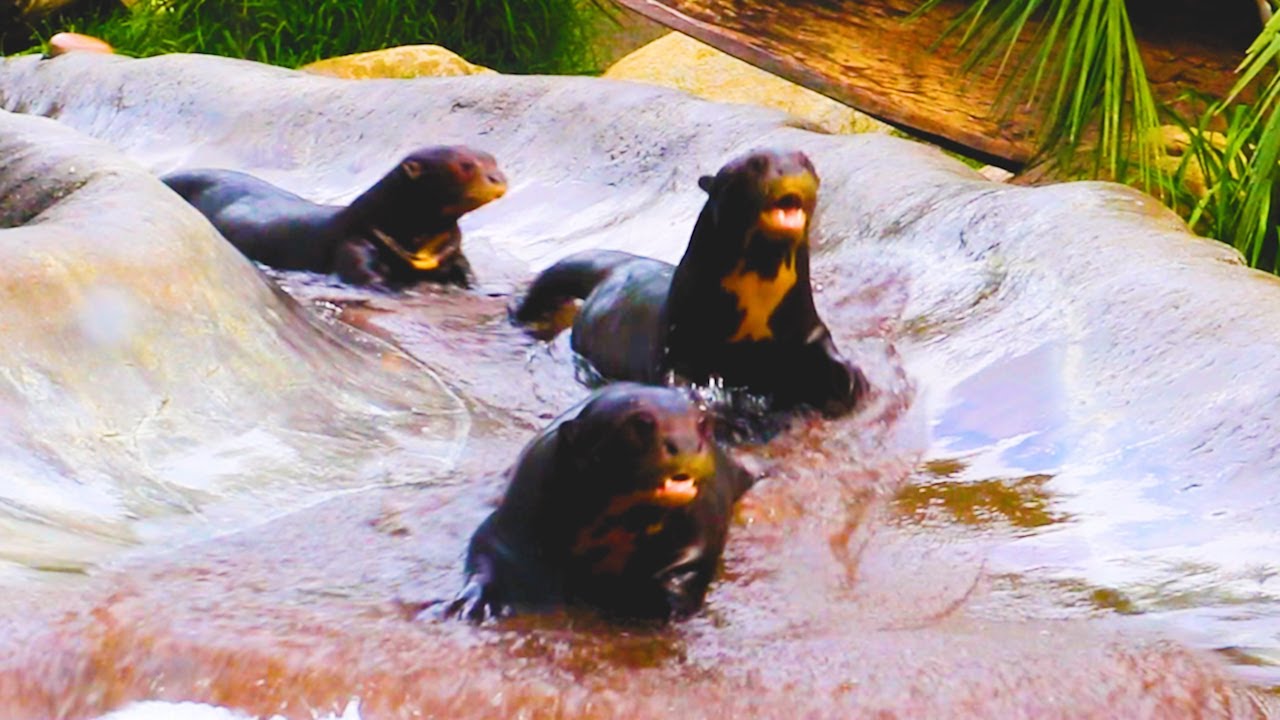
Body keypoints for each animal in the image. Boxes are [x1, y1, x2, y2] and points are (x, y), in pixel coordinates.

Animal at [162, 145, 507, 288]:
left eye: (493, 160)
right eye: (465, 166)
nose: (497, 178)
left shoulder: (451, 251)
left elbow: (466, 272)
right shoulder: (355, 243)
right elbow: (366, 277)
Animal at [447, 383, 754, 621]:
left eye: (702, 424)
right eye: (642, 423)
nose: (686, 445)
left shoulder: (701, 533)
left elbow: (690, 568)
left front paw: (665, 603)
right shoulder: (516, 517)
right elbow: (488, 551)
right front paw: (473, 602)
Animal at [513, 148, 865, 416]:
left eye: (806, 162)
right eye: (756, 163)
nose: (789, 169)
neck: (755, 315)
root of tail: (621, 266)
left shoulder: (804, 324)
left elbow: (824, 348)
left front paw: (850, 379)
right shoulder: (680, 343)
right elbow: (678, 379)